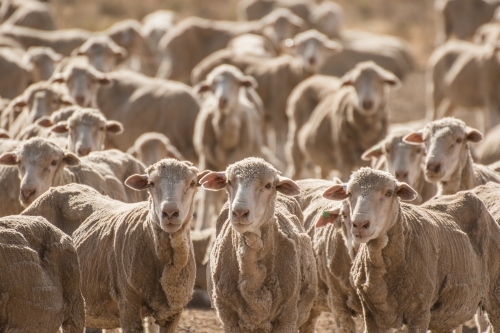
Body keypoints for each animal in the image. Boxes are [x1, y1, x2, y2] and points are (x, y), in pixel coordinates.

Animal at [190, 28, 340, 161]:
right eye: (301, 46)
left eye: (322, 46)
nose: (311, 59)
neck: (293, 73)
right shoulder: (277, 111)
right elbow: (280, 142)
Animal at [324, 167, 500, 332]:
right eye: (349, 193)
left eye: (389, 193)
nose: (360, 224)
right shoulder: (371, 314)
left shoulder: (420, 313)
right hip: (446, 314)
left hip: (494, 296)